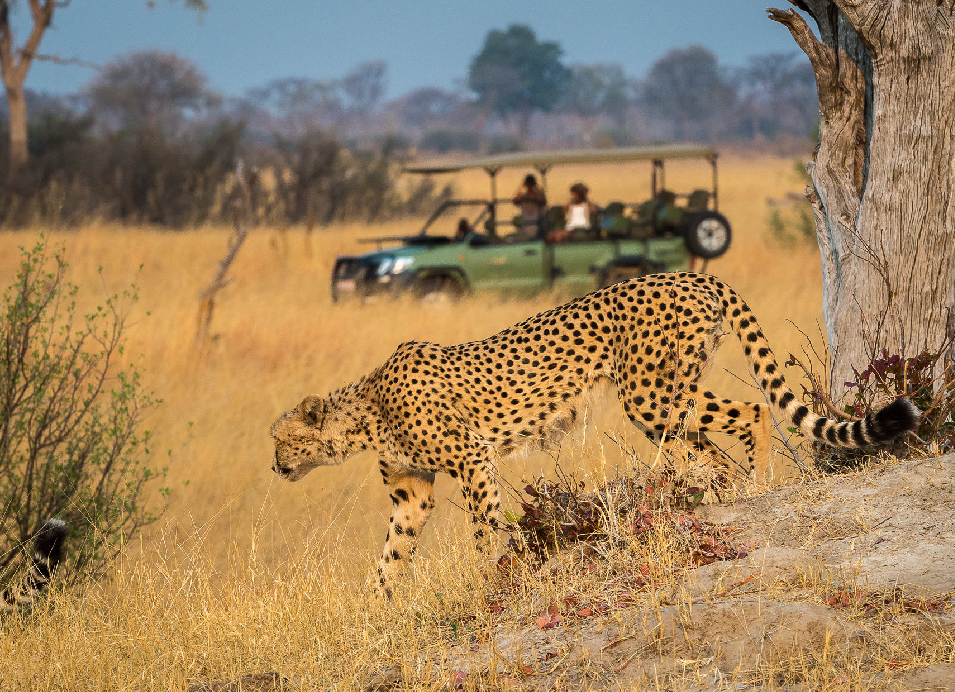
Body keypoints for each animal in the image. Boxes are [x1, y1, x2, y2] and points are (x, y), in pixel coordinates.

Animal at [270, 273, 919, 597]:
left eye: (280, 441)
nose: (275, 468)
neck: (366, 410)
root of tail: (688, 271)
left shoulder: (474, 460)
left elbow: (482, 531)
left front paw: (481, 581)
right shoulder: (413, 490)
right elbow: (390, 554)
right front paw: (377, 611)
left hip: (651, 394)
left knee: (753, 411)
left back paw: (757, 486)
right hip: (665, 398)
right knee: (711, 452)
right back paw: (720, 493)